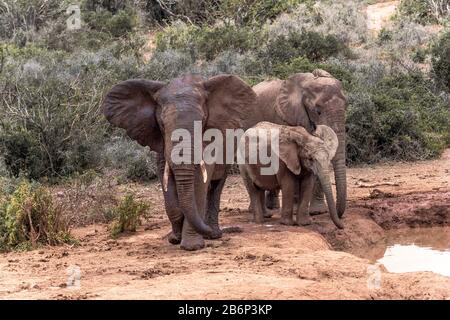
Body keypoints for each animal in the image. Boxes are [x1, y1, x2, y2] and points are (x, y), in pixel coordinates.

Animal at [253, 70, 348, 219]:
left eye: (346, 107)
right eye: (318, 111)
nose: (339, 215)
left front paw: (318, 211)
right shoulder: (286, 117)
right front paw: (297, 210)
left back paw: (273, 207)